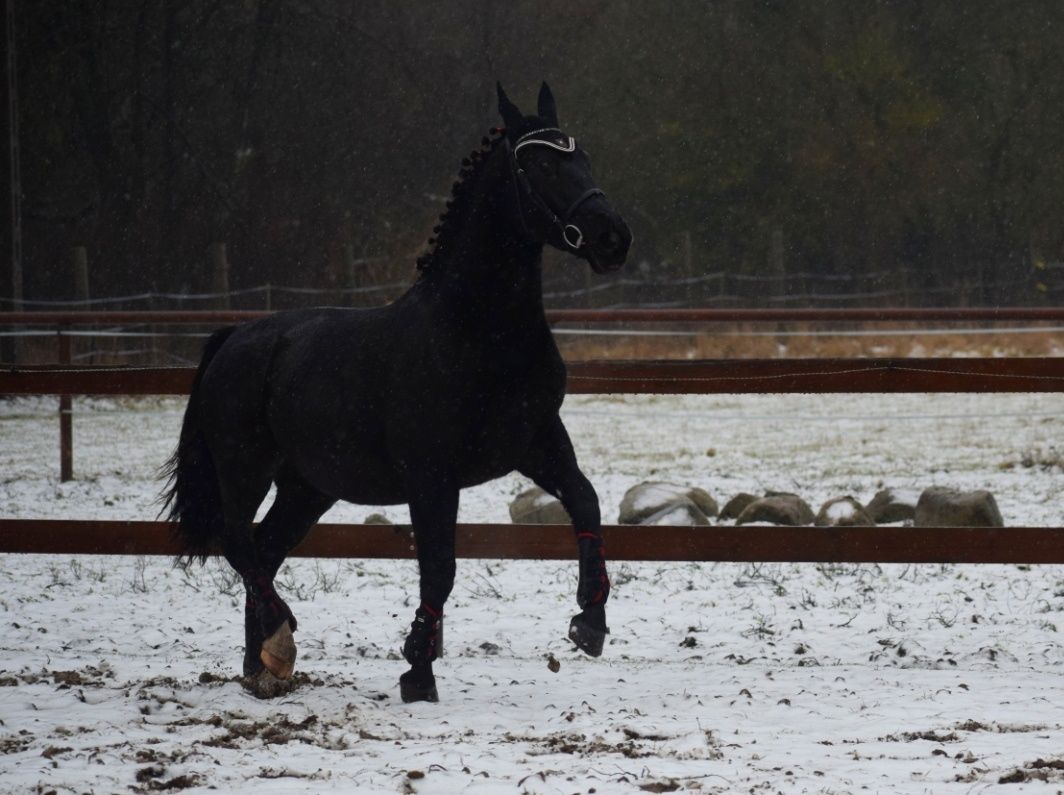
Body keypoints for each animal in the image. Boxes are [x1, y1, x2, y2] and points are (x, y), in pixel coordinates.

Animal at [163, 82, 629, 702]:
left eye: (583, 156)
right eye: (539, 164)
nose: (612, 237)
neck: (477, 332)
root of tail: (235, 338)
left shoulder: (537, 444)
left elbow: (585, 500)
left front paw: (589, 623)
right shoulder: (431, 475)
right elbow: (439, 565)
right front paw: (418, 671)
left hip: (307, 487)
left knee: (264, 549)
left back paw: (262, 666)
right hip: (244, 468)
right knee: (239, 543)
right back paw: (279, 643)